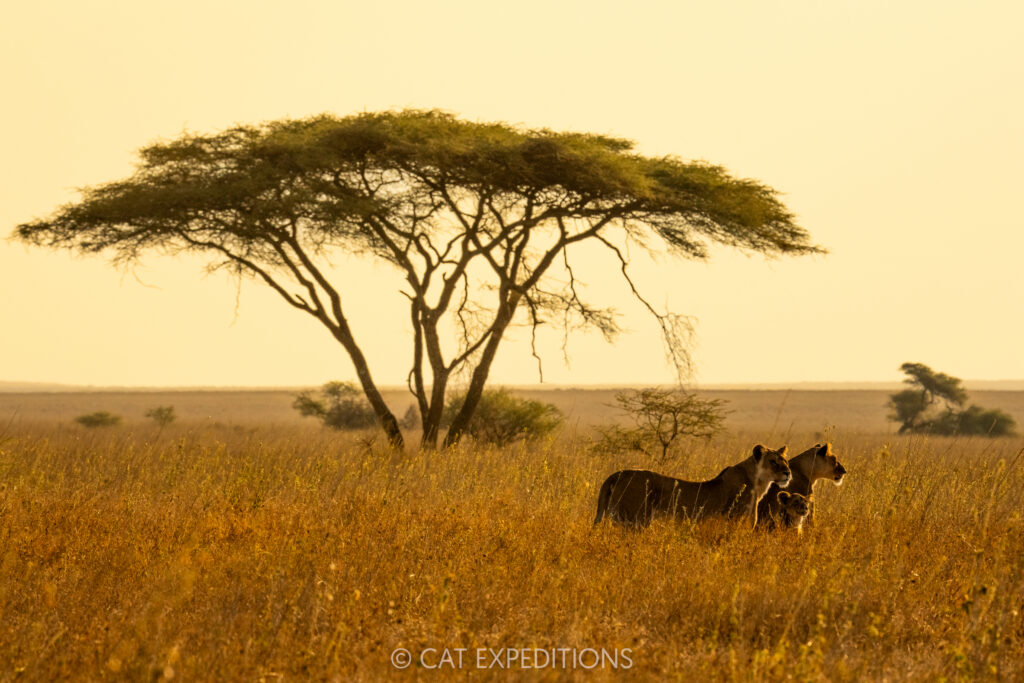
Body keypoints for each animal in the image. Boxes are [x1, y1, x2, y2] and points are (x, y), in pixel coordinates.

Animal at [593, 444, 791, 528]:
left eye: (786, 461)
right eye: (773, 462)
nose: (788, 473)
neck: (758, 481)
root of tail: (617, 474)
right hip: (635, 521)